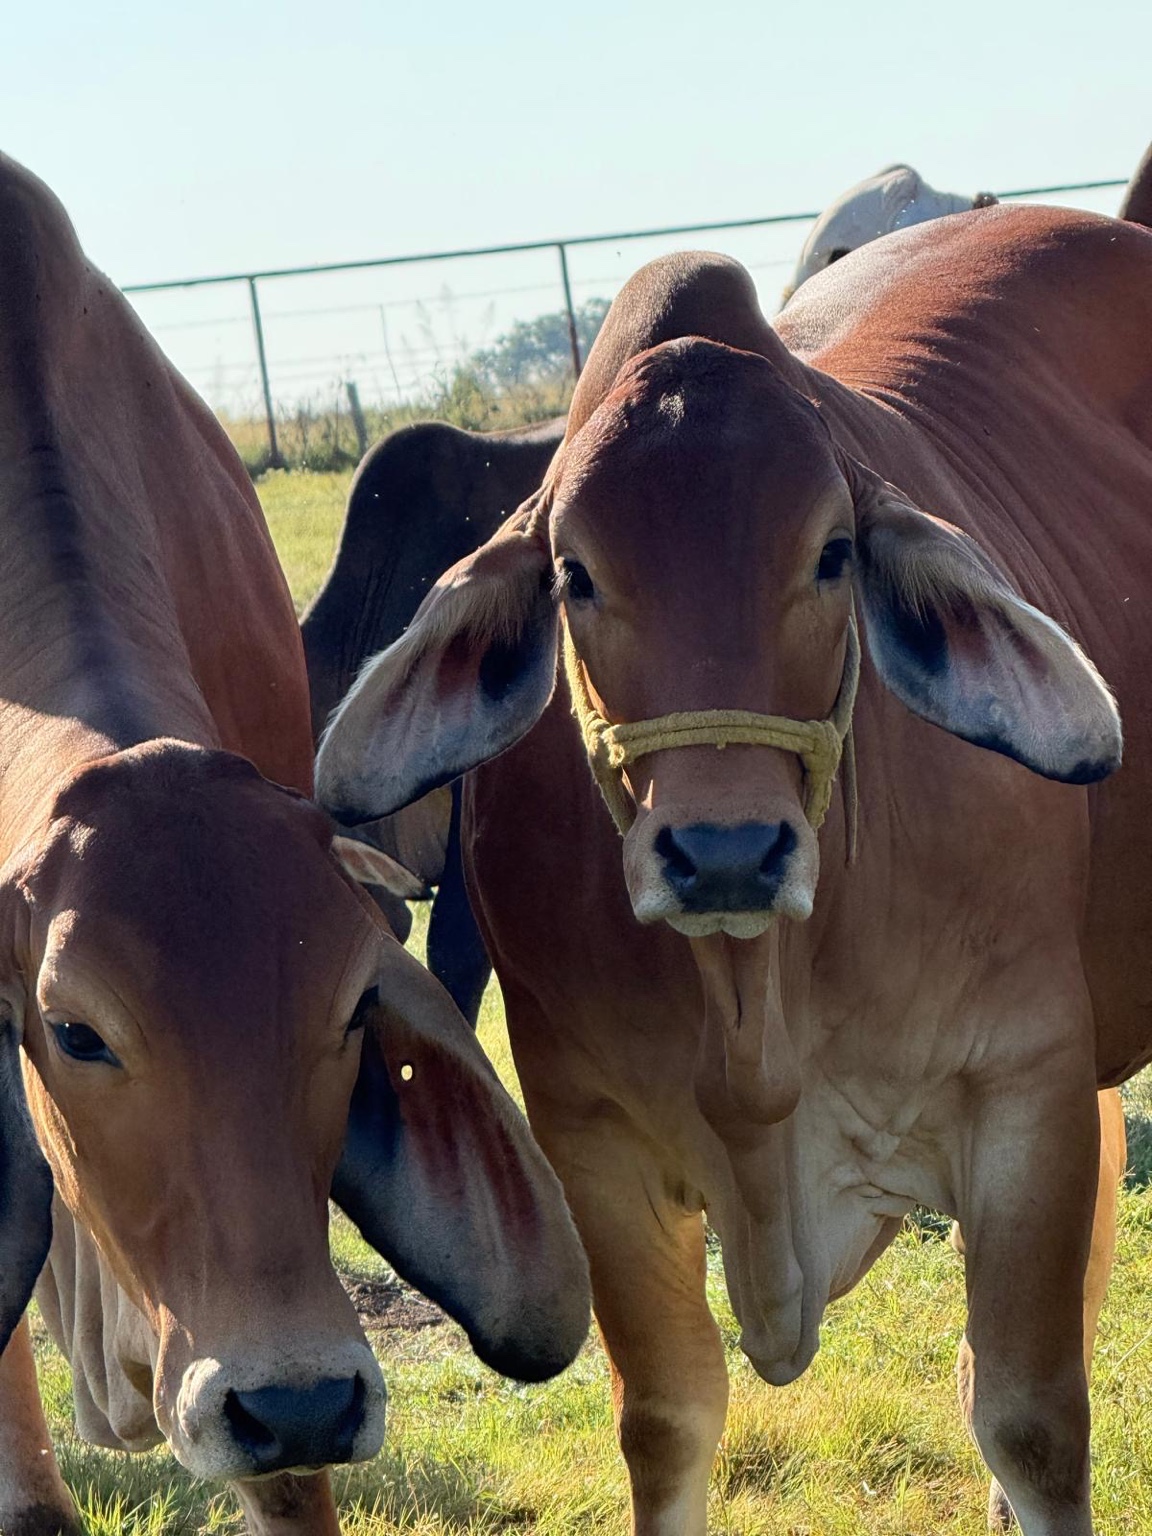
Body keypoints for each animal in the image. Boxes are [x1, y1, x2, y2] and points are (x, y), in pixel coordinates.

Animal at [317, 203, 1152, 1536]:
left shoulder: (1025, 1092)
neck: (754, 1002)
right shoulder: (591, 1142)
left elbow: (1031, 1423)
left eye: (832, 555)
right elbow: (667, 1425)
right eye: (574, 574)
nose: (723, 853)